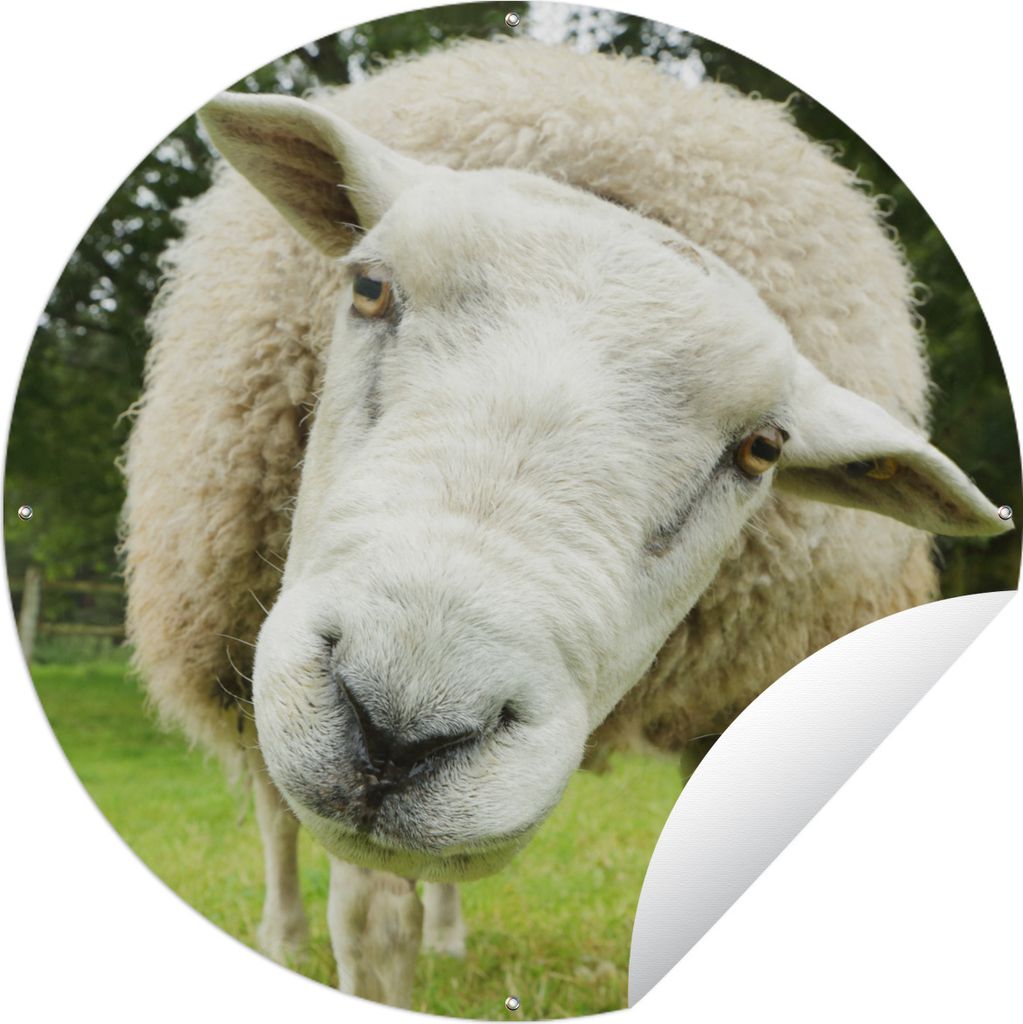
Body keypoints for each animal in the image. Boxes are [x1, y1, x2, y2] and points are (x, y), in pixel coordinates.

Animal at [120, 37, 1010, 1008]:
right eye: (369, 287)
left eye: (762, 449)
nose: (400, 728)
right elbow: (367, 923)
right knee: (270, 807)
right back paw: (282, 937)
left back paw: (448, 938)